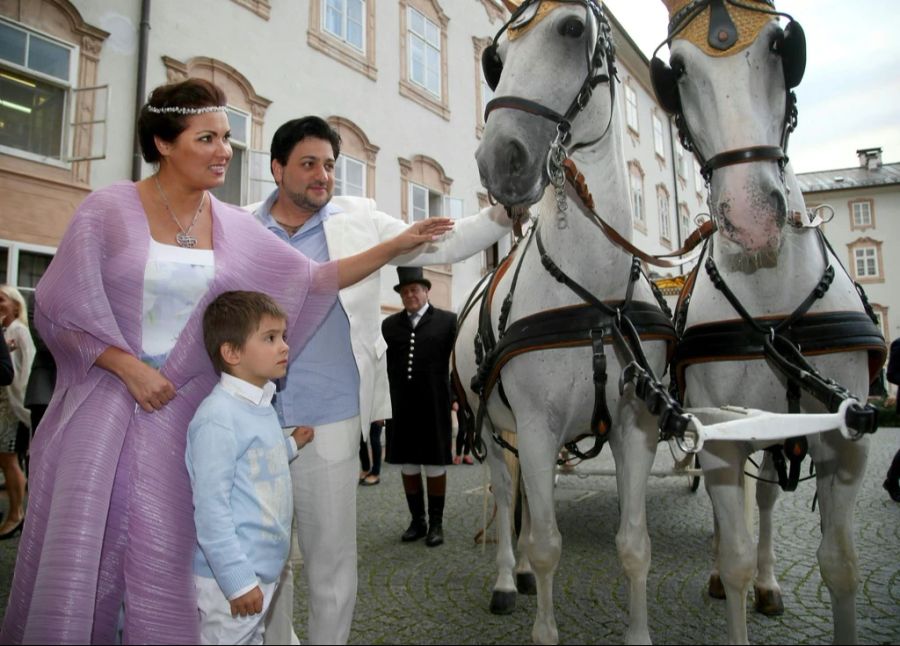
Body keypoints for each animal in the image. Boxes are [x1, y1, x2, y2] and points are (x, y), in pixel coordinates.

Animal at [458, 2, 676, 644]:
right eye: (497, 60)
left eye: (572, 28)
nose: (499, 160)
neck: (596, 304)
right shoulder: (534, 425)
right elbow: (548, 543)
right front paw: (544, 627)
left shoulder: (635, 425)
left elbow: (633, 545)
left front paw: (638, 634)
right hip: (493, 430)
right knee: (510, 497)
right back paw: (509, 579)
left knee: (531, 501)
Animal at [652, 2, 884, 644]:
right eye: (676, 71)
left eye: (784, 46)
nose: (753, 220)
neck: (772, 308)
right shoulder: (718, 434)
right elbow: (730, 556)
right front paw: (728, 578)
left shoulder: (845, 437)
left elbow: (840, 564)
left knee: (764, 503)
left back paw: (770, 581)